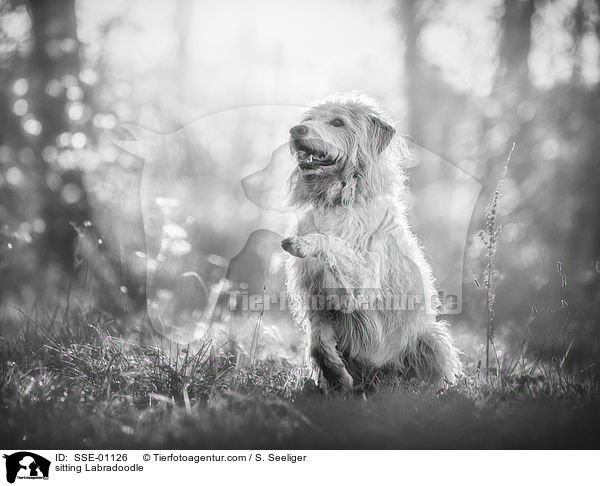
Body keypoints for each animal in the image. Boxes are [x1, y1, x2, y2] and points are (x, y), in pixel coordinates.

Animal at [280, 93, 460, 392]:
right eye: (309, 119)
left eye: (338, 122)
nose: (295, 130)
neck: (337, 201)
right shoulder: (317, 303)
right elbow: (318, 345)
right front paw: (338, 379)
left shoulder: (363, 281)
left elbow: (335, 244)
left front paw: (305, 244)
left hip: (431, 337)